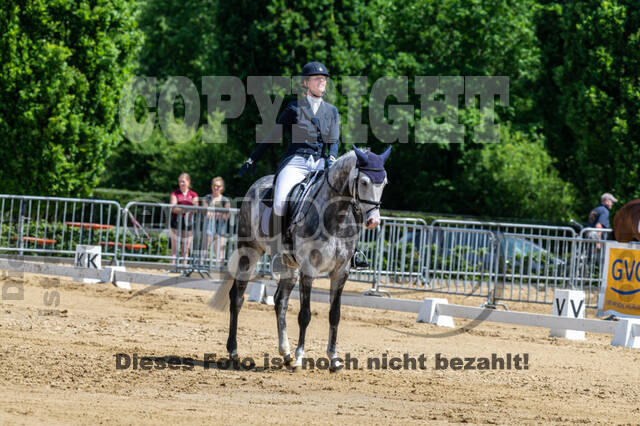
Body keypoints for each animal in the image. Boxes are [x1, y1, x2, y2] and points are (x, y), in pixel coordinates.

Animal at [210, 146, 390, 370]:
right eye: (364, 182)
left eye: (384, 183)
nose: (374, 221)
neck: (335, 216)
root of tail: (257, 184)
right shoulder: (309, 269)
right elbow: (305, 315)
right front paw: (299, 357)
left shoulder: (341, 272)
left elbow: (335, 315)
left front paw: (333, 358)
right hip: (249, 252)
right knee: (237, 297)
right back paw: (234, 352)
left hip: (289, 266)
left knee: (280, 301)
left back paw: (285, 352)